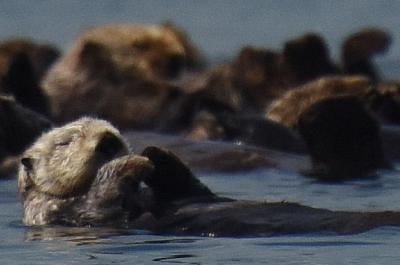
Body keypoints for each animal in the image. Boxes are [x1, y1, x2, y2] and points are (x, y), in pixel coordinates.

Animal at [18, 117, 400, 235]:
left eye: (115, 129)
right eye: (66, 140)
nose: (109, 140)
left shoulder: (185, 190)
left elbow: (192, 187)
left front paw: (156, 153)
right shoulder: (62, 213)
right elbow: (101, 202)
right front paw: (133, 164)